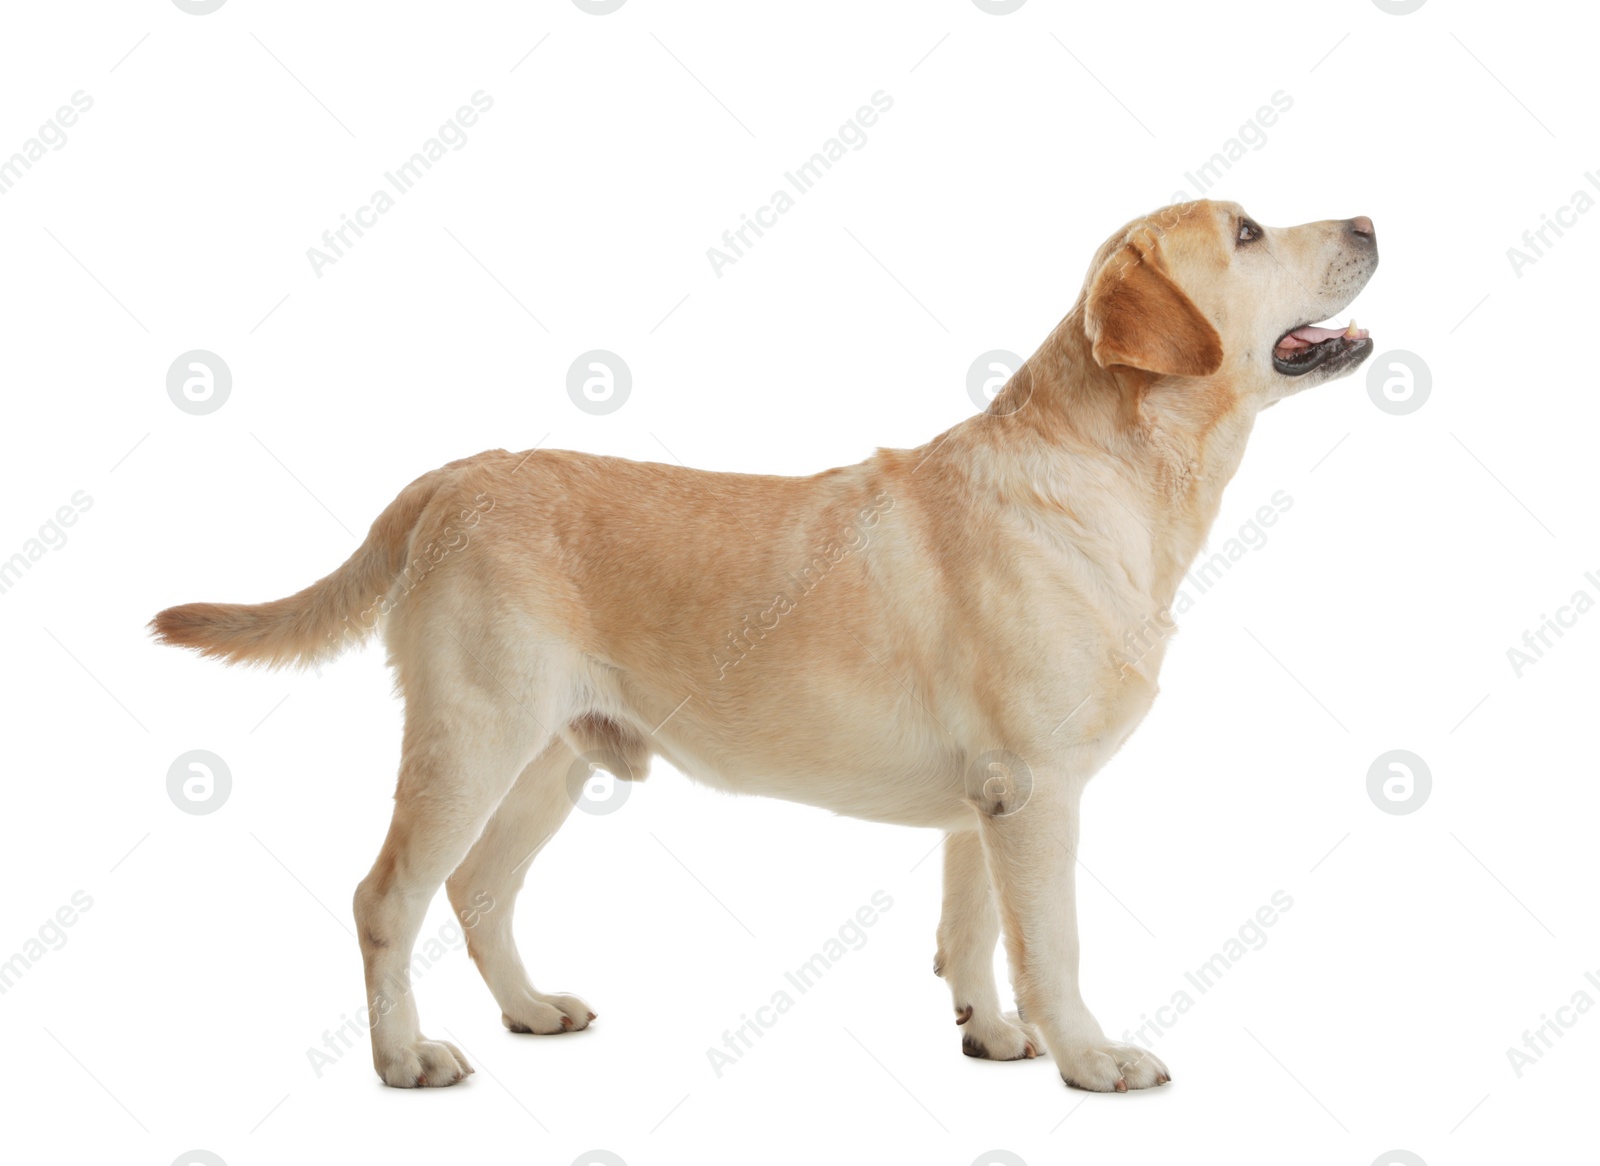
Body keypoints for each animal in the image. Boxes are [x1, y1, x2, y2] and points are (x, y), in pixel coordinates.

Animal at [152, 197, 1376, 1094]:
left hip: (554, 756)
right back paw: (404, 1055)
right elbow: (1052, 943)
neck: (1115, 471)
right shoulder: (1037, 790)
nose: (1369, 220)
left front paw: (987, 1031)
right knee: (387, 898)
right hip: (472, 737)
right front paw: (1091, 1056)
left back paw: (530, 1009)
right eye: (1247, 232)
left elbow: (973, 925)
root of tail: (450, 474)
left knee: (478, 892)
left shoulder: (984, 802)